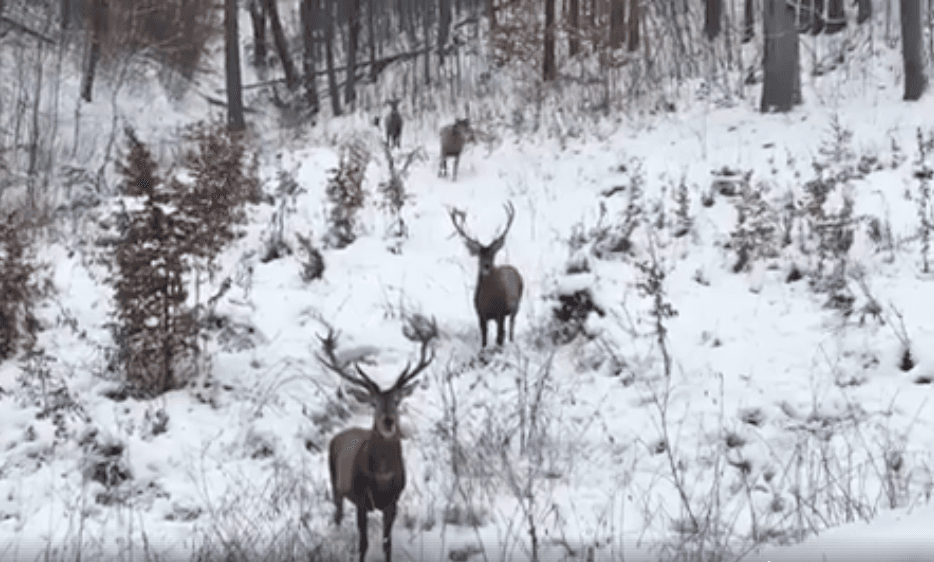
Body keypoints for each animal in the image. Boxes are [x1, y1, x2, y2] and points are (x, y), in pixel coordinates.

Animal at [318, 315, 437, 562]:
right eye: (373, 403)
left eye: (398, 400)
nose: (388, 421)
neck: (382, 475)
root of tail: (340, 434)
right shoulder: (362, 500)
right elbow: (363, 544)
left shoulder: (393, 501)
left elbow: (386, 544)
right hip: (335, 482)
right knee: (337, 515)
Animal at [449, 201, 524, 348]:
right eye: (480, 255)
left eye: (493, 254)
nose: (486, 266)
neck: (488, 300)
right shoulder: (480, 313)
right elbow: (484, 339)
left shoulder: (501, 312)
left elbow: (499, 337)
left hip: (517, 304)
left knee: (511, 326)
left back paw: (512, 342)